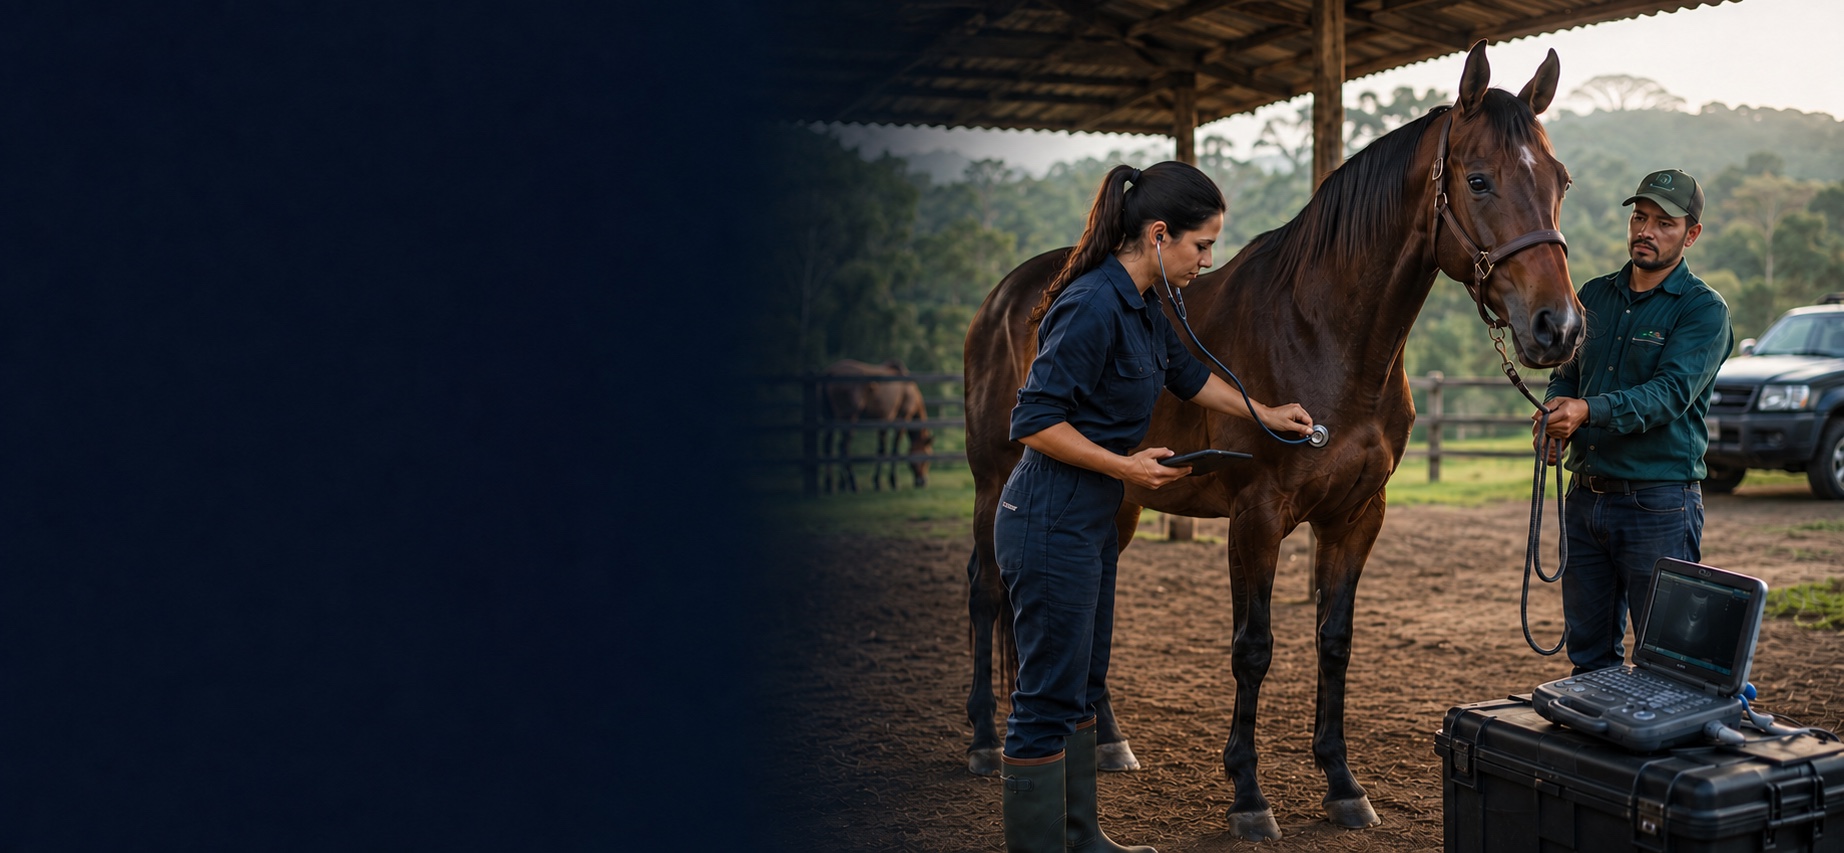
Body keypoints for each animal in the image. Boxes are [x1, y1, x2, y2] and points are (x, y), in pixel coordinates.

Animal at [820, 359, 935, 492]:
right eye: (927, 457)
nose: (922, 481)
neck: (909, 390)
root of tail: (829, 372)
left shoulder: (883, 422)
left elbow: (881, 449)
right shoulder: (901, 419)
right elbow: (892, 450)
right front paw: (891, 481)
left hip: (830, 419)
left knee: (828, 446)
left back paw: (830, 484)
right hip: (849, 419)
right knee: (843, 447)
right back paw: (853, 484)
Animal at [960, 42, 1582, 840]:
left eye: (1559, 179)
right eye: (1478, 179)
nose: (1557, 327)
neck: (1325, 334)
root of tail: (1009, 295)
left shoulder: (1356, 516)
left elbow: (1334, 640)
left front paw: (1343, 784)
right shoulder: (1256, 516)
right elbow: (1253, 649)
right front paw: (1249, 797)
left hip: (1120, 498)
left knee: (1092, 608)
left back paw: (1107, 742)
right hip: (994, 481)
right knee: (985, 591)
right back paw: (983, 740)